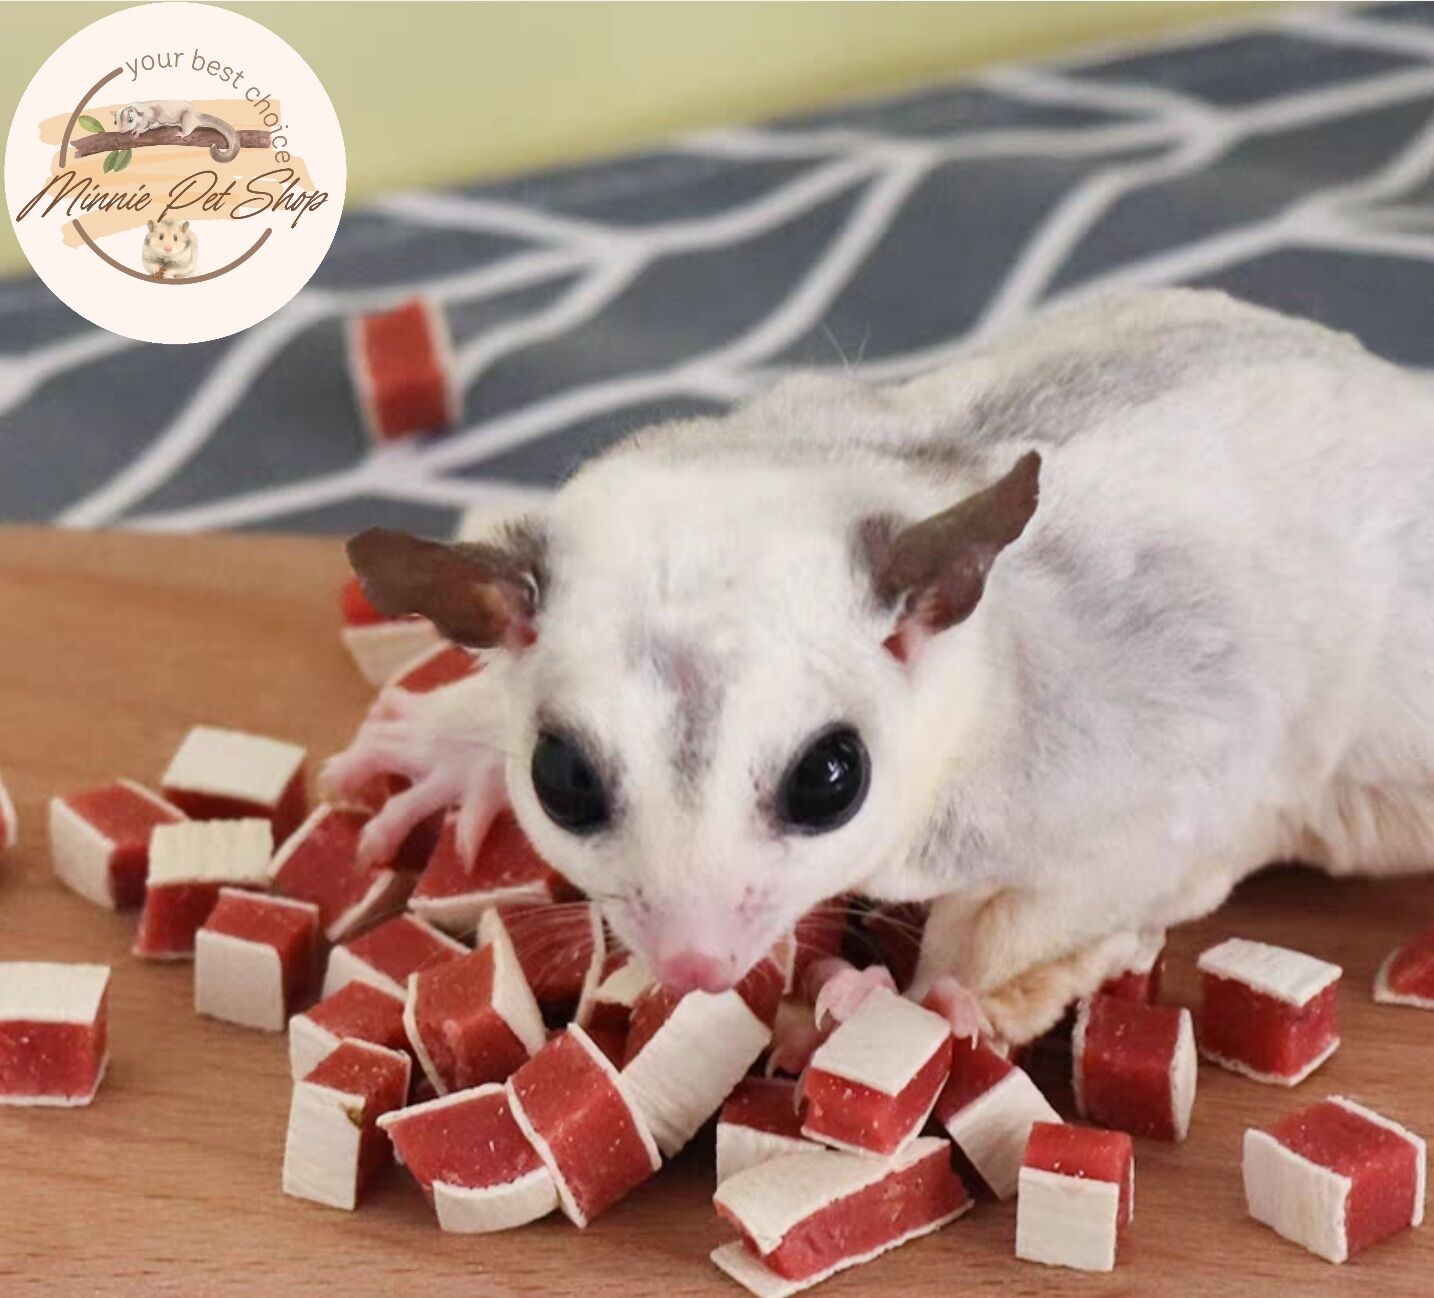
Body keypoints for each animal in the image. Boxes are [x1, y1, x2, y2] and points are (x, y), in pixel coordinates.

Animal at [327, 288, 1434, 1043]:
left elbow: (1105, 872)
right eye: (561, 778)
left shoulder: (1123, 747)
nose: (695, 964)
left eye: (829, 777)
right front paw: (456, 743)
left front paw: (936, 998)